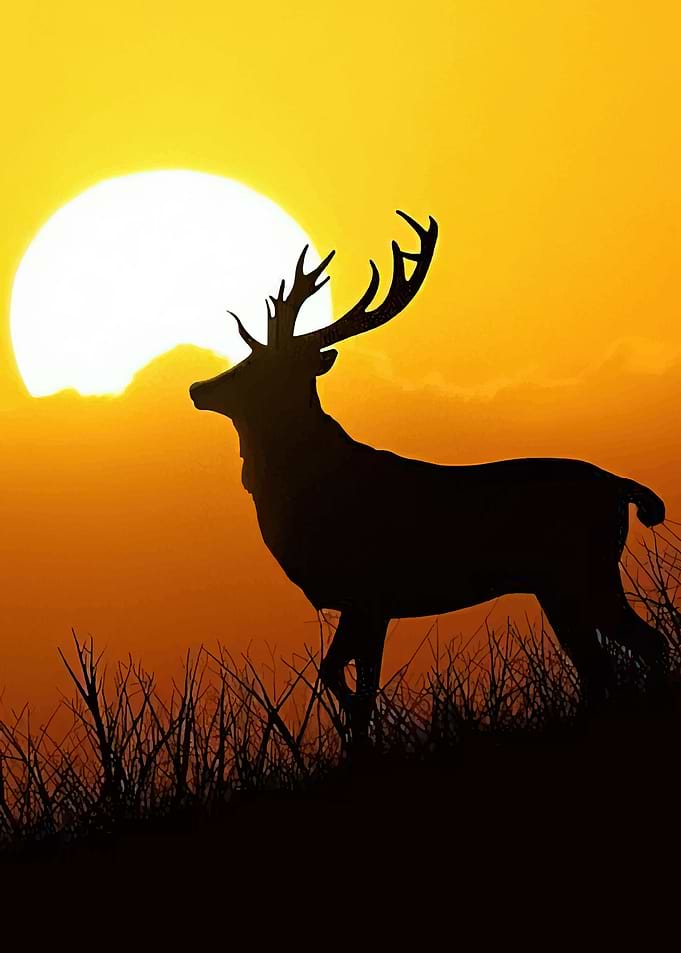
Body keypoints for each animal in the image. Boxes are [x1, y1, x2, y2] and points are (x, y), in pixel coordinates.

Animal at [189, 210, 668, 742]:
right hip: (557, 586)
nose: (199, 388)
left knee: (647, 645)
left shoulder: (372, 592)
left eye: (258, 364)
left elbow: (355, 687)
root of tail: (621, 487)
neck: (310, 489)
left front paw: (364, 742)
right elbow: (340, 676)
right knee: (600, 667)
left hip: (585, 569)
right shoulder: (362, 602)